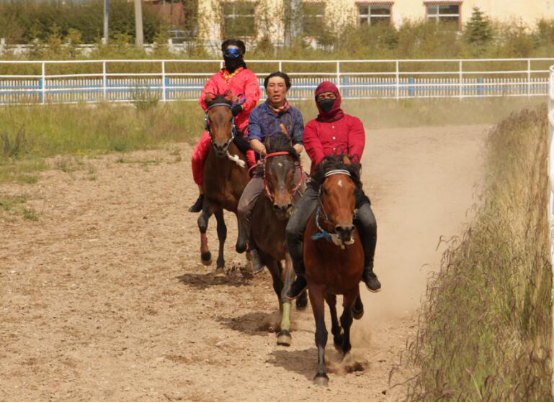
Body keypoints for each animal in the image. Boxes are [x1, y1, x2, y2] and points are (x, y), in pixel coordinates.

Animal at [197, 94, 249, 276]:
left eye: (231, 117)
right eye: (210, 119)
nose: (221, 146)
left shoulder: (242, 204)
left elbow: (241, 241)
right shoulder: (214, 202)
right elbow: (207, 225)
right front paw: (208, 257)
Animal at [250, 133, 306, 348]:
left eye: (292, 170)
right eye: (269, 171)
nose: (283, 207)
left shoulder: (290, 253)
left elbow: (287, 288)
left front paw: (285, 331)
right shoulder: (267, 255)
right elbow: (278, 286)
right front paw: (280, 322)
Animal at [300, 156, 364, 386]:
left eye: (353, 189)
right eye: (326, 190)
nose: (344, 230)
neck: (334, 249)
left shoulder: (351, 287)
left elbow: (347, 319)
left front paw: (347, 352)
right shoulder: (316, 288)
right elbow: (321, 329)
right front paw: (321, 372)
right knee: (333, 305)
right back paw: (337, 337)